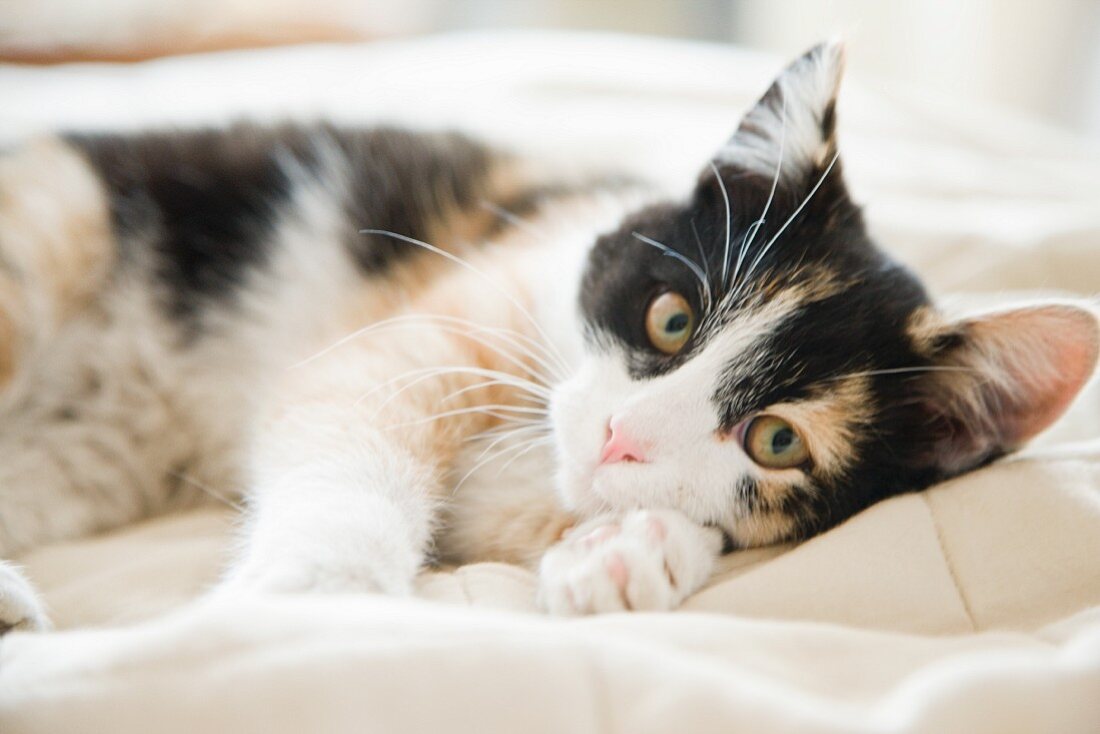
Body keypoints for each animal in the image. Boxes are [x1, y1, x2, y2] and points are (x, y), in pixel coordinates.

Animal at [2, 38, 1100, 633]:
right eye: (671, 316)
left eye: (777, 439)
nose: (618, 435)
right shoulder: (430, 318)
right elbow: (350, 429)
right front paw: (325, 590)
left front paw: (624, 550)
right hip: (52, 229)